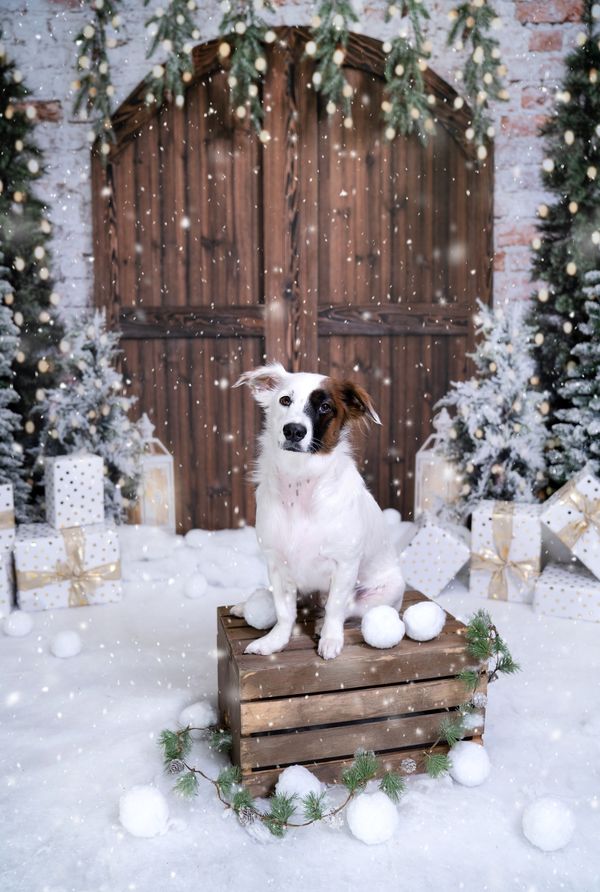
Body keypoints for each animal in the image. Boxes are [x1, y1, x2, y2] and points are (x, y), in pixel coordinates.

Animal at [232, 362, 406, 664]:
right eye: (284, 400)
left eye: (325, 407)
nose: (293, 431)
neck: (300, 483)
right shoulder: (276, 564)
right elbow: (284, 612)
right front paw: (274, 642)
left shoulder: (345, 565)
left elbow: (336, 607)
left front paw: (330, 639)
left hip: (388, 589)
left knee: (344, 609)